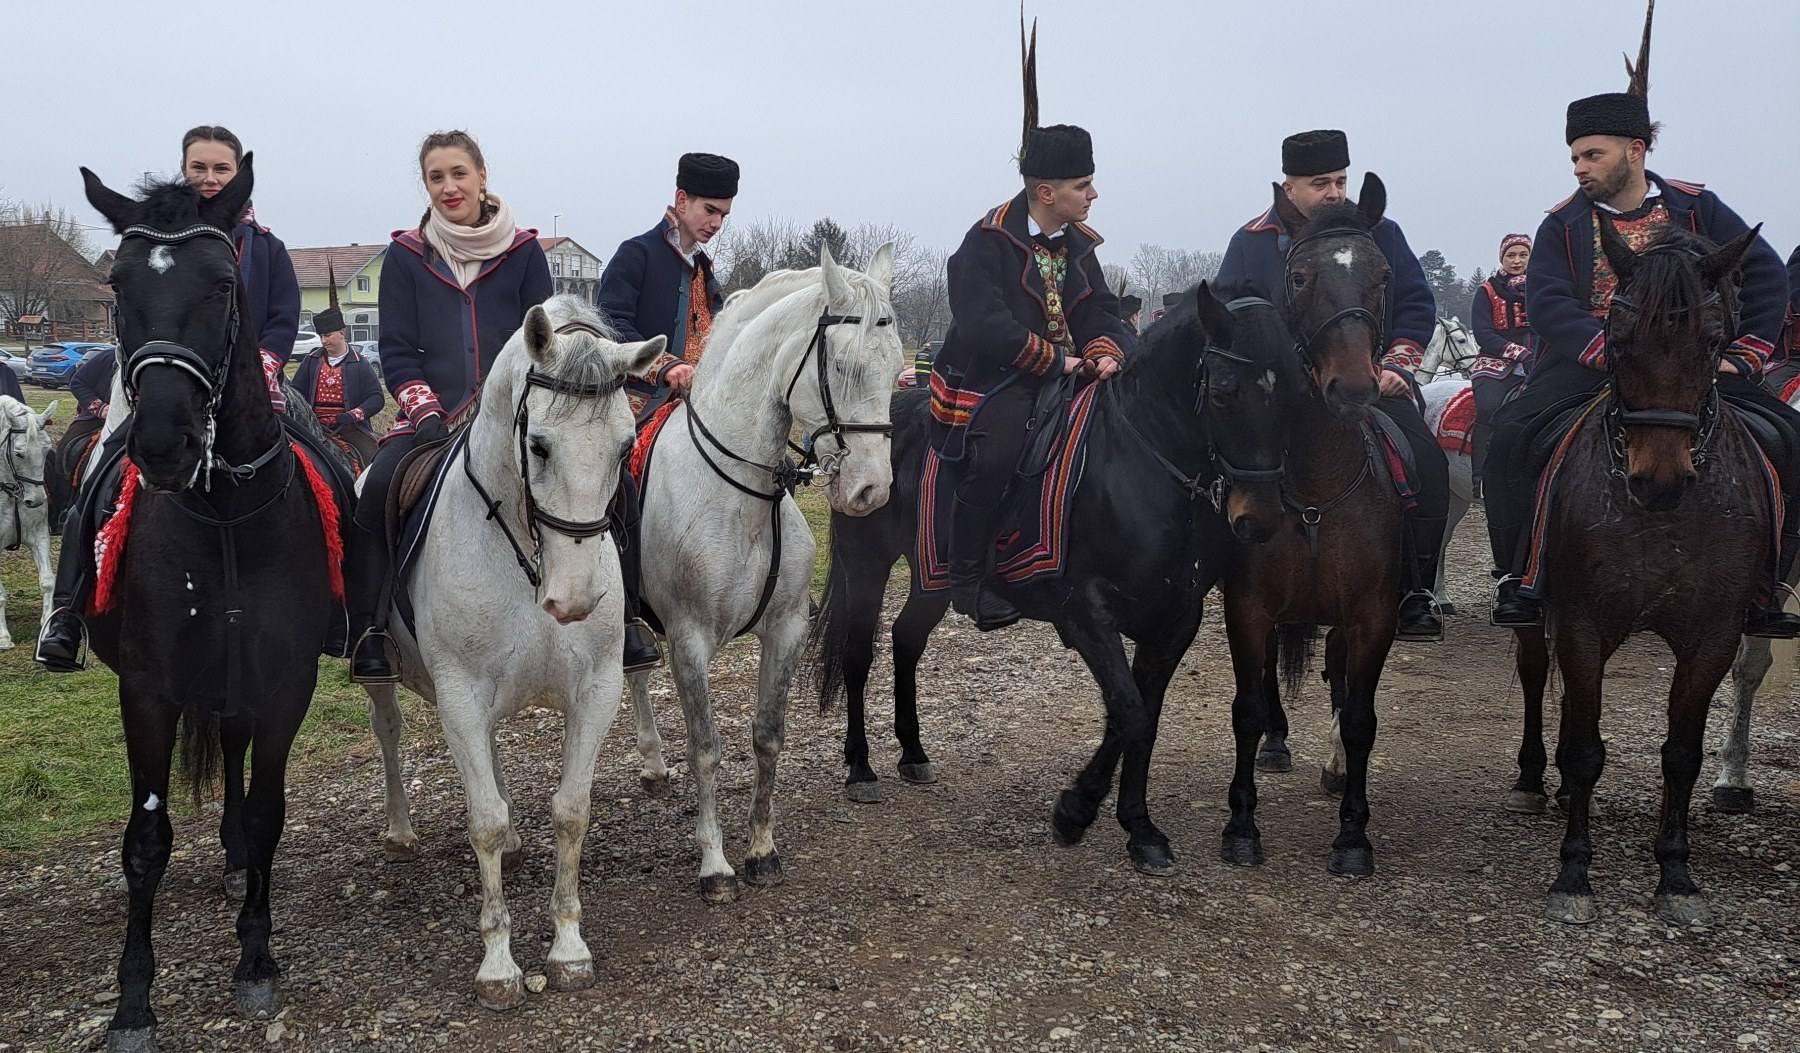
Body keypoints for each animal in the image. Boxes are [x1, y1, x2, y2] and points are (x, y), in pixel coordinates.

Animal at [78, 160, 343, 1050]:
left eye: (224, 285)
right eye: (117, 285)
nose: (164, 441)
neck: (227, 512)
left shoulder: (286, 680)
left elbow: (266, 813)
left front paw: (256, 959)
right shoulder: (147, 689)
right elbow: (146, 839)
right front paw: (132, 999)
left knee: (233, 758)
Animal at [358, 296, 664, 1009]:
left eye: (625, 446)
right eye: (539, 445)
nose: (573, 599)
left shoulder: (596, 691)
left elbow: (572, 813)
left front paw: (569, 948)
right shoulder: (461, 696)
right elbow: (485, 823)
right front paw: (498, 963)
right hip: (390, 682)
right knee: (389, 732)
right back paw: (400, 830)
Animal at [624, 245, 903, 902]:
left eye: (899, 366)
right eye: (844, 366)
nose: (871, 492)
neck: (738, 494)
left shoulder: (787, 629)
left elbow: (768, 735)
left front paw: (760, 849)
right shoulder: (690, 641)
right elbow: (706, 749)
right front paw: (715, 865)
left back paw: (652, 764)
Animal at [811, 283, 1293, 874]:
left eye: (1295, 386)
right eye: (1224, 391)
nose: (1260, 518)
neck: (1139, 463)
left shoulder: (1174, 619)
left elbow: (1142, 717)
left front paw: (1135, 826)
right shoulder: (1084, 613)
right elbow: (1129, 711)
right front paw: (1079, 812)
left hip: (931, 579)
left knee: (906, 641)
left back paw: (913, 752)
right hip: (867, 565)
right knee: (859, 656)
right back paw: (861, 768)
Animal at [1504, 220, 1772, 926]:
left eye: (1714, 341)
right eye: (1619, 340)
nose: (1659, 479)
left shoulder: (1713, 634)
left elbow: (1681, 753)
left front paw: (1676, 874)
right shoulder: (1582, 624)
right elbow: (1585, 750)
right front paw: (1574, 873)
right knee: (1537, 677)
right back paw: (1532, 780)